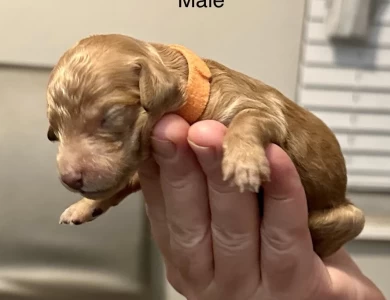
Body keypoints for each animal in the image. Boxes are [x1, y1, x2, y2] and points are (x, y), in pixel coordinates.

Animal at [46, 33, 366, 258]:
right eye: (54, 133)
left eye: (110, 117)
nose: (69, 179)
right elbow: (123, 183)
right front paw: (83, 207)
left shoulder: (261, 109)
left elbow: (247, 120)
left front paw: (243, 163)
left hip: (351, 218)